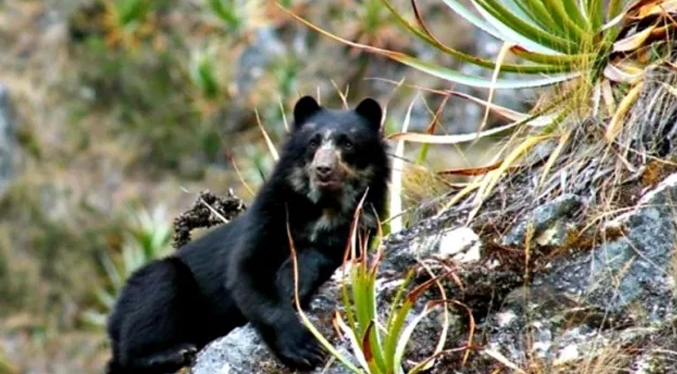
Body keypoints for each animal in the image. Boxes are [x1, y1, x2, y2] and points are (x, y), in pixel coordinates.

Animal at [105, 95, 390, 372]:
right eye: (313, 142)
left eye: (348, 143)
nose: (323, 169)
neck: (323, 207)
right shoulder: (269, 214)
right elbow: (247, 272)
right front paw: (305, 349)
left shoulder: (362, 222)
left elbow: (330, 251)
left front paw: (291, 282)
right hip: (146, 292)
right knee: (153, 300)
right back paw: (173, 353)